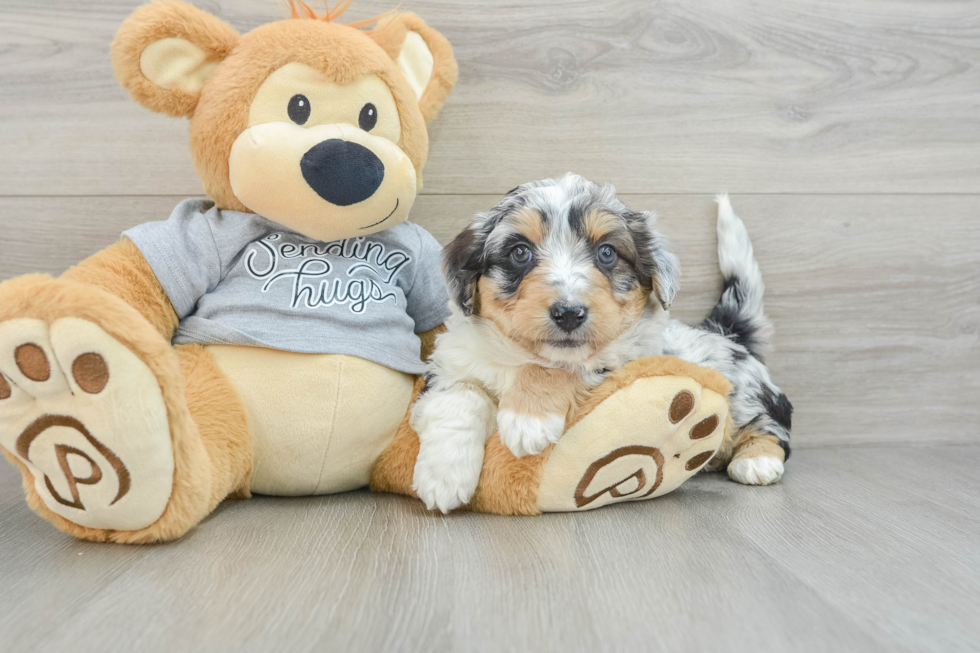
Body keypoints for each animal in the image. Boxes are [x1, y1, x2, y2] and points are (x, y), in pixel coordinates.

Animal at [410, 176, 792, 512]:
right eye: (520, 253)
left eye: (607, 253)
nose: (568, 313)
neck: (520, 356)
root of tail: (725, 331)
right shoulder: (448, 366)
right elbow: (462, 396)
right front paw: (443, 475)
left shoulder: (621, 362)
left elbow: (558, 369)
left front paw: (528, 420)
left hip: (744, 394)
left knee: (774, 423)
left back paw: (756, 460)